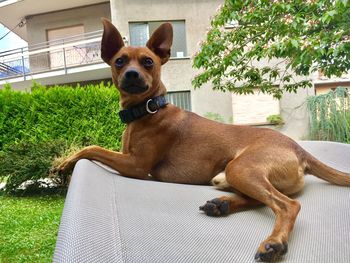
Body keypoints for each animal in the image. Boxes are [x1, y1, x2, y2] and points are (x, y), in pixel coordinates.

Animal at [57, 19, 350, 262]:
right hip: (231, 175)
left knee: (287, 205)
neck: (149, 110)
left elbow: (91, 146)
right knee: (264, 198)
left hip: (240, 168)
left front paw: (63, 163)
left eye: (148, 62)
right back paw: (222, 205)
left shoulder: (137, 166)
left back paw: (273, 243)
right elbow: (92, 146)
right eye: (119, 61)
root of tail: (299, 148)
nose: (131, 75)